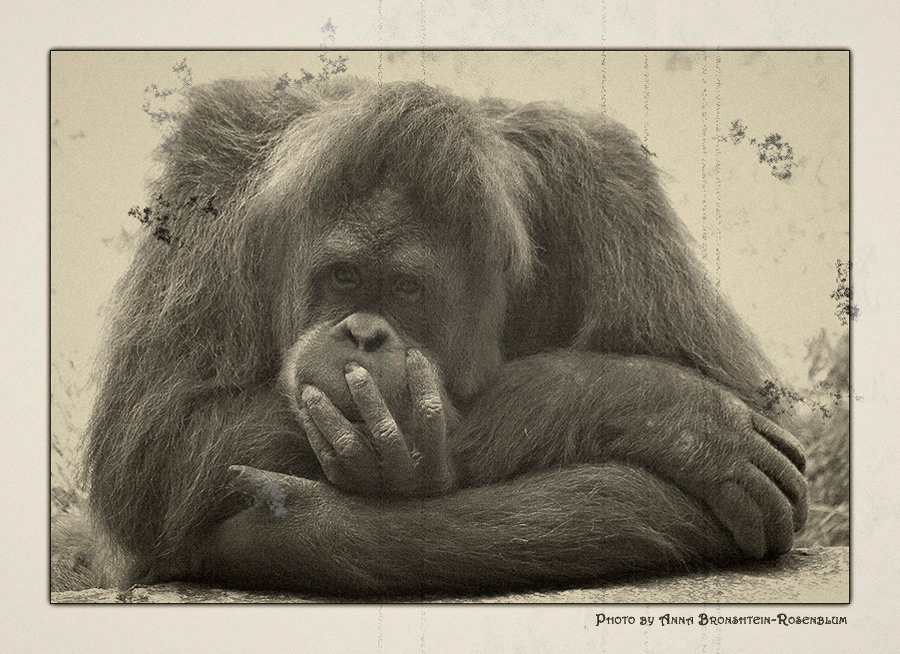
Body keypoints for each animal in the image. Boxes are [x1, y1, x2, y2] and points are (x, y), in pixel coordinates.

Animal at [79, 77, 806, 595]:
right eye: (345, 277)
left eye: (405, 289)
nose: (364, 333)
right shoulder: (214, 170)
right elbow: (160, 444)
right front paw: (676, 413)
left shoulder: (608, 183)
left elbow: (741, 400)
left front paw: (671, 410)